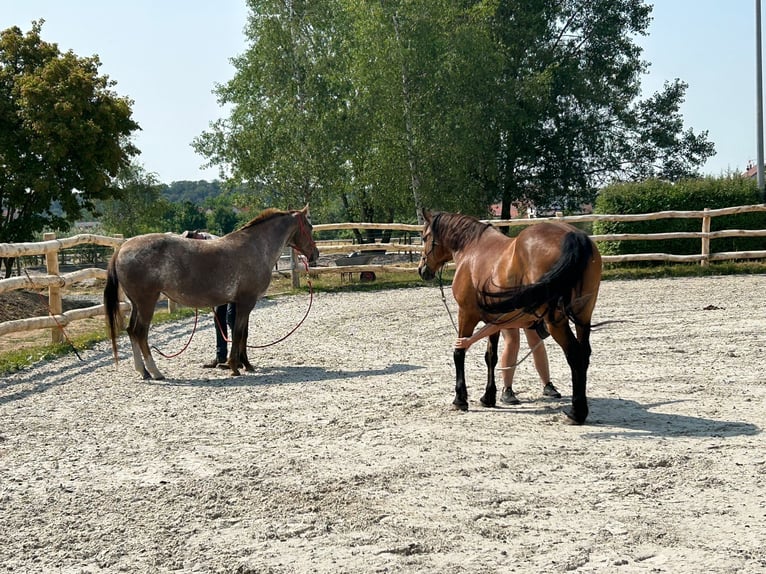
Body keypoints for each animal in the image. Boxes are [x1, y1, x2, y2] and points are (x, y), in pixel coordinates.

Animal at [103, 207, 320, 382]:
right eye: (309, 227)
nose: (315, 254)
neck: (256, 247)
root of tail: (122, 248)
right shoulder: (246, 302)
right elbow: (239, 333)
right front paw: (234, 367)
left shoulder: (242, 303)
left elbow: (243, 333)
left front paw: (246, 365)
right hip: (147, 302)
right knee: (140, 333)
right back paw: (156, 372)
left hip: (136, 304)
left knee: (131, 331)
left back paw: (143, 371)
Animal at [416, 212, 604, 428]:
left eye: (424, 237)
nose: (422, 270)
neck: (471, 248)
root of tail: (574, 236)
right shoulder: (494, 321)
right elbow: (491, 357)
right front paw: (488, 397)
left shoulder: (466, 314)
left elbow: (459, 352)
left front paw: (460, 399)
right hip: (583, 316)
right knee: (585, 353)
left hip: (556, 321)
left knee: (574, 354)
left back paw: (576, 412)